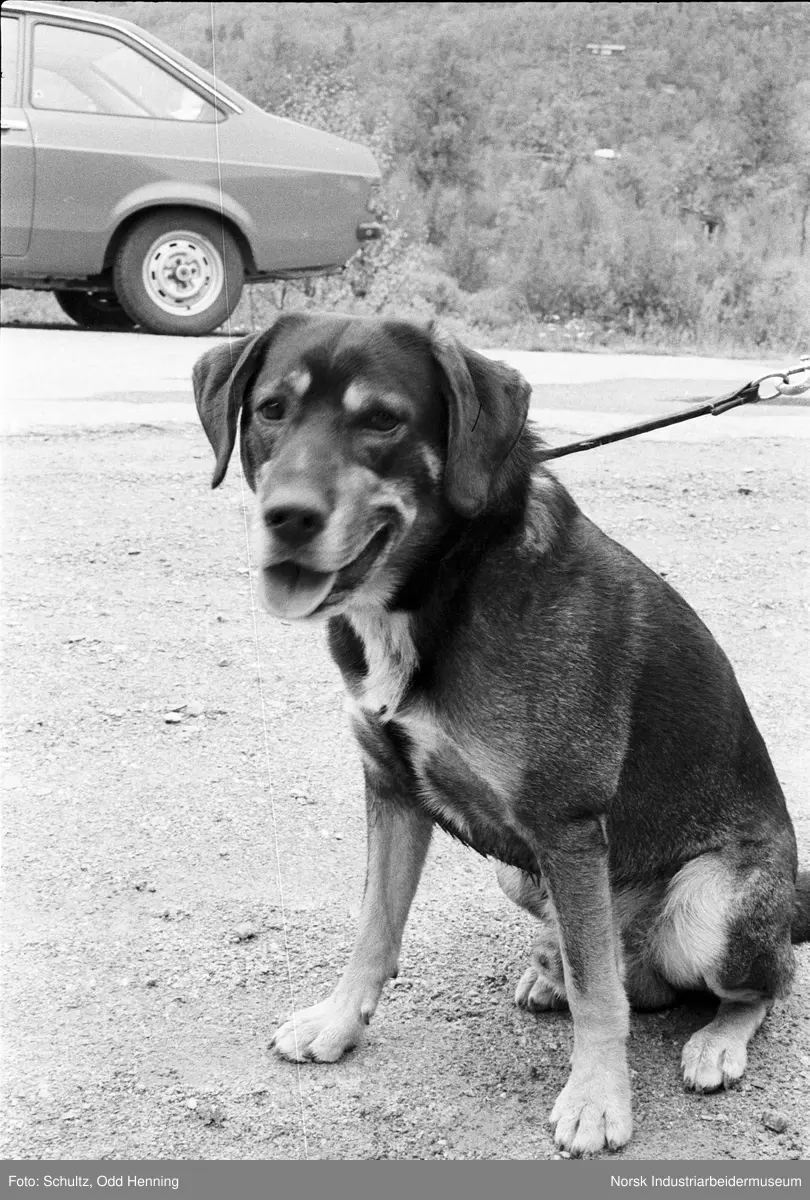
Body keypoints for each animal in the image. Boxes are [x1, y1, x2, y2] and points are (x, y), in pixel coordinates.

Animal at [193, 314, 806, 1156]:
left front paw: (598, 1099)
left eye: (383, 420)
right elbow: (373, 930)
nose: (286, 518)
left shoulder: (566, 824)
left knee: (757, 982)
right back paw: (550, 969)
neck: (441, 587)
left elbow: (599, 993)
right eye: (271, 410)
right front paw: (338, 1023)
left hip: (710, 908)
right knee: (613, 966)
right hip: (521, 875)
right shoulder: (393, 789)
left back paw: (716, 1040)